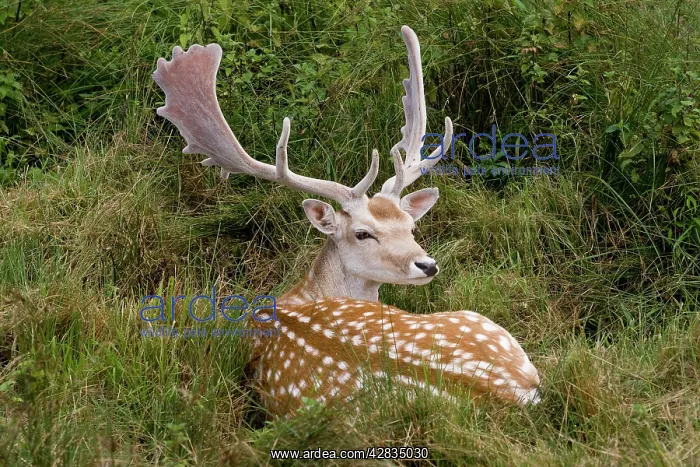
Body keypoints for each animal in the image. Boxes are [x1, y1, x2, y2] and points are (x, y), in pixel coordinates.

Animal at [152, 26, 541, 417]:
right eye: (363, 233)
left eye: (411, 226)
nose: (427, 265)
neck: (298, 296)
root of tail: (511, 392)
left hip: (481, 322)